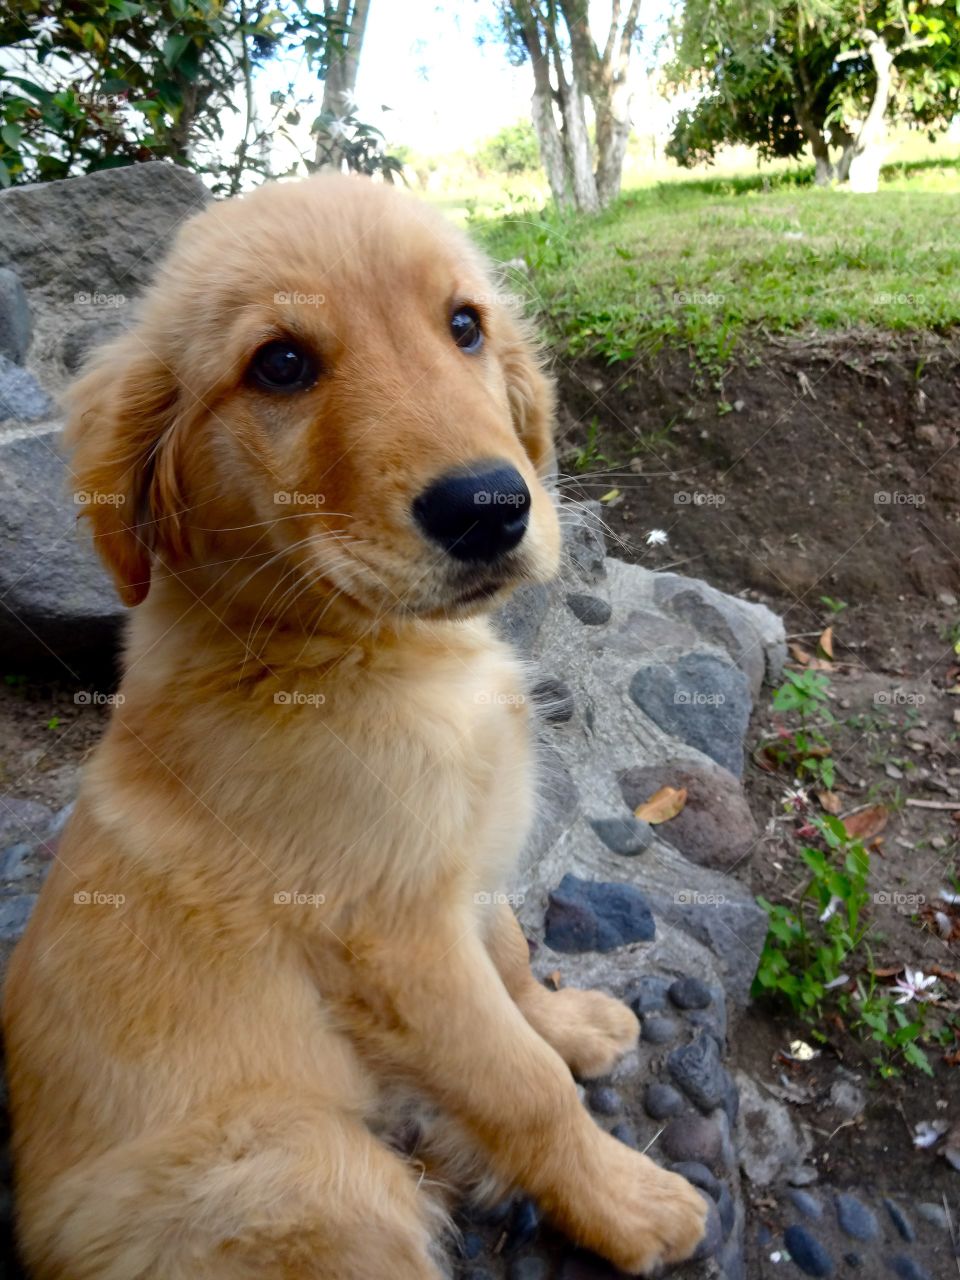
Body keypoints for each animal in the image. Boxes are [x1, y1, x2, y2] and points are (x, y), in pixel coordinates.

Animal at [0, 172, 706, 1280]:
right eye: (281, 364)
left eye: (465, 325)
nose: (489, 506)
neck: (354, 652)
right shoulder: (396, 936)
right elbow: (522, 1085)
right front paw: (627, 1202)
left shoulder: (457, 871)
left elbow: (510, 959)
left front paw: (568, 1022)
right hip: (317, 1175)